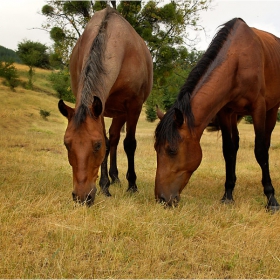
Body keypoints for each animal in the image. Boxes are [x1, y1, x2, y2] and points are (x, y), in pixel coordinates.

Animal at [57, 7, 152, 206]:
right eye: (66, 144)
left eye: (96, 145)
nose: (82, 197)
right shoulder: (100, 105)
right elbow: (109, 143)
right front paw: (104, 186)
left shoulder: (134, 106)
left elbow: (129, 143)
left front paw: (132, 185)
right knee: (113, 139)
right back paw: (113, 177)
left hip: (122, 112)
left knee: (117, 138)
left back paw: (118, 178)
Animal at [154, 18, 280, 210]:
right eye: (156, 148)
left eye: (172, 150)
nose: (161, 199)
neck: (238, 59)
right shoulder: (225, 112)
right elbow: (228, 151)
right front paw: (227, 196)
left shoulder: (258, 109)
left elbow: (260, 152)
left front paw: (271, 199)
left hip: (272, 110)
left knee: (265, 144)